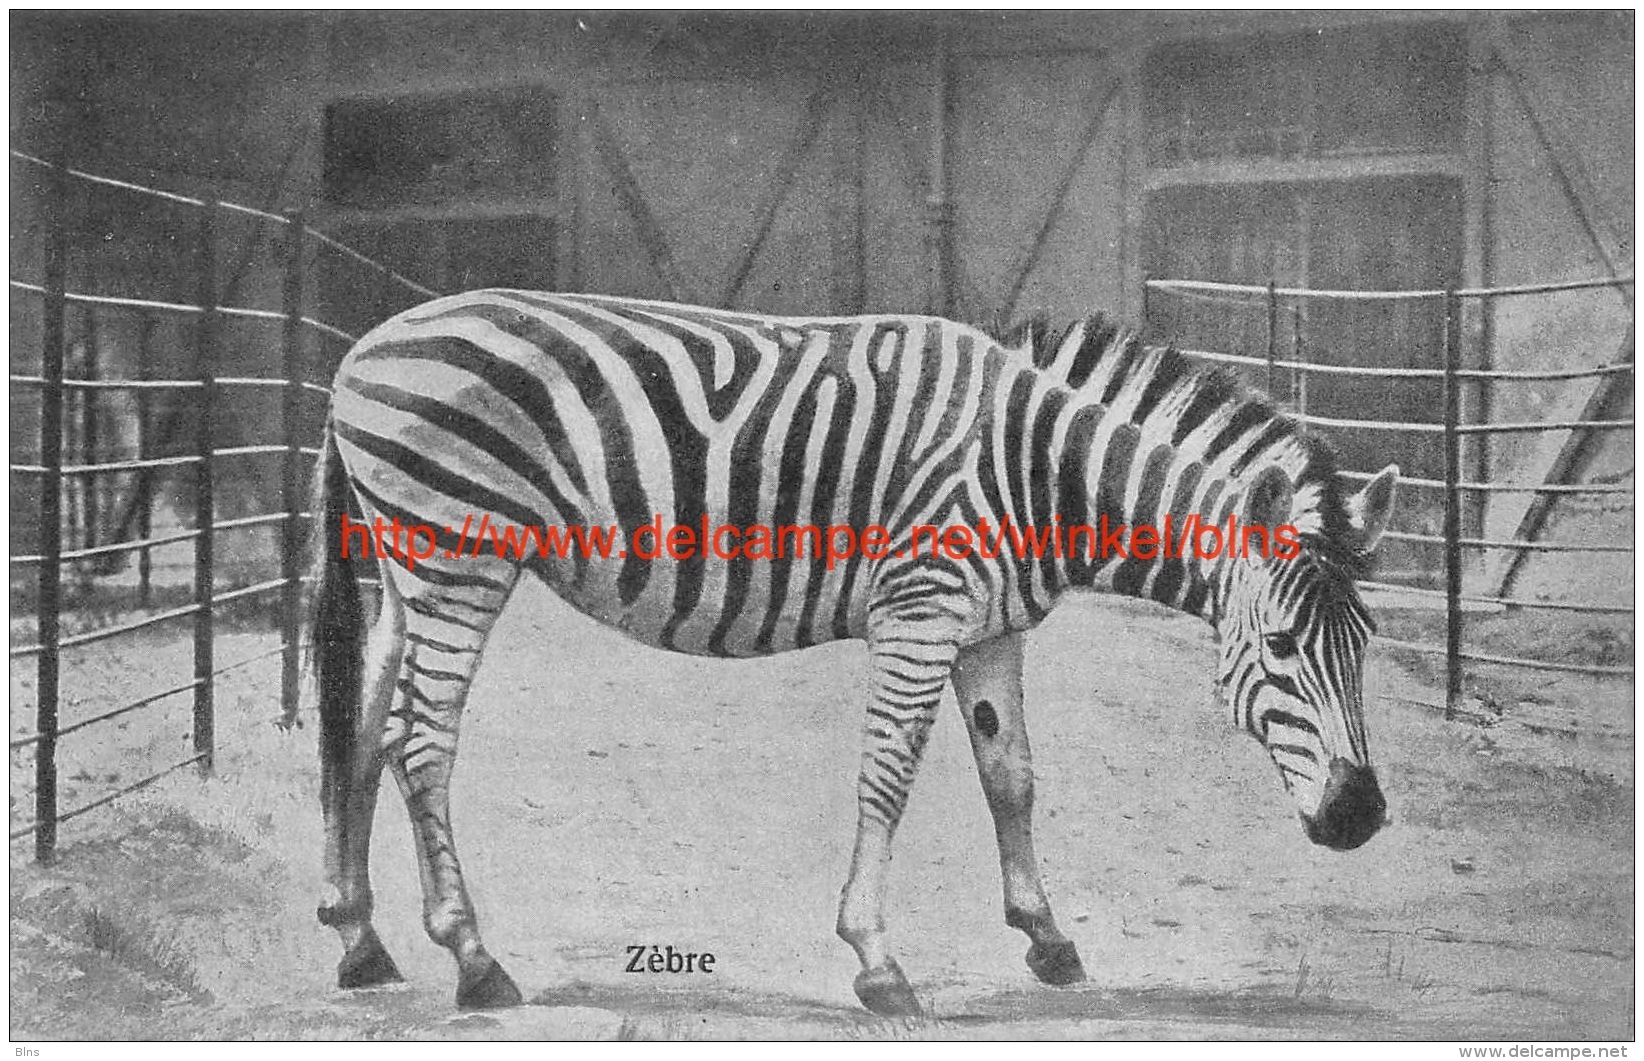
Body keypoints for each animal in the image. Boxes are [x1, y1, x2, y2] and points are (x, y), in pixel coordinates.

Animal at [309, 289, 1398, 1015]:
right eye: (1284, 643)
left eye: (1365, 646)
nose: (1361, 818)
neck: (1038, 470)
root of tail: (359, 351)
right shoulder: (921, 607)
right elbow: (890, 772)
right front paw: (878, 960)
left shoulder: (990, 627)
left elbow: (1012, 775)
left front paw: (1048, 938)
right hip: (458, 553)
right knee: (421, 742)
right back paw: (474, 959)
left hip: (406, 563)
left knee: (361, 728)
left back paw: (361, 942)